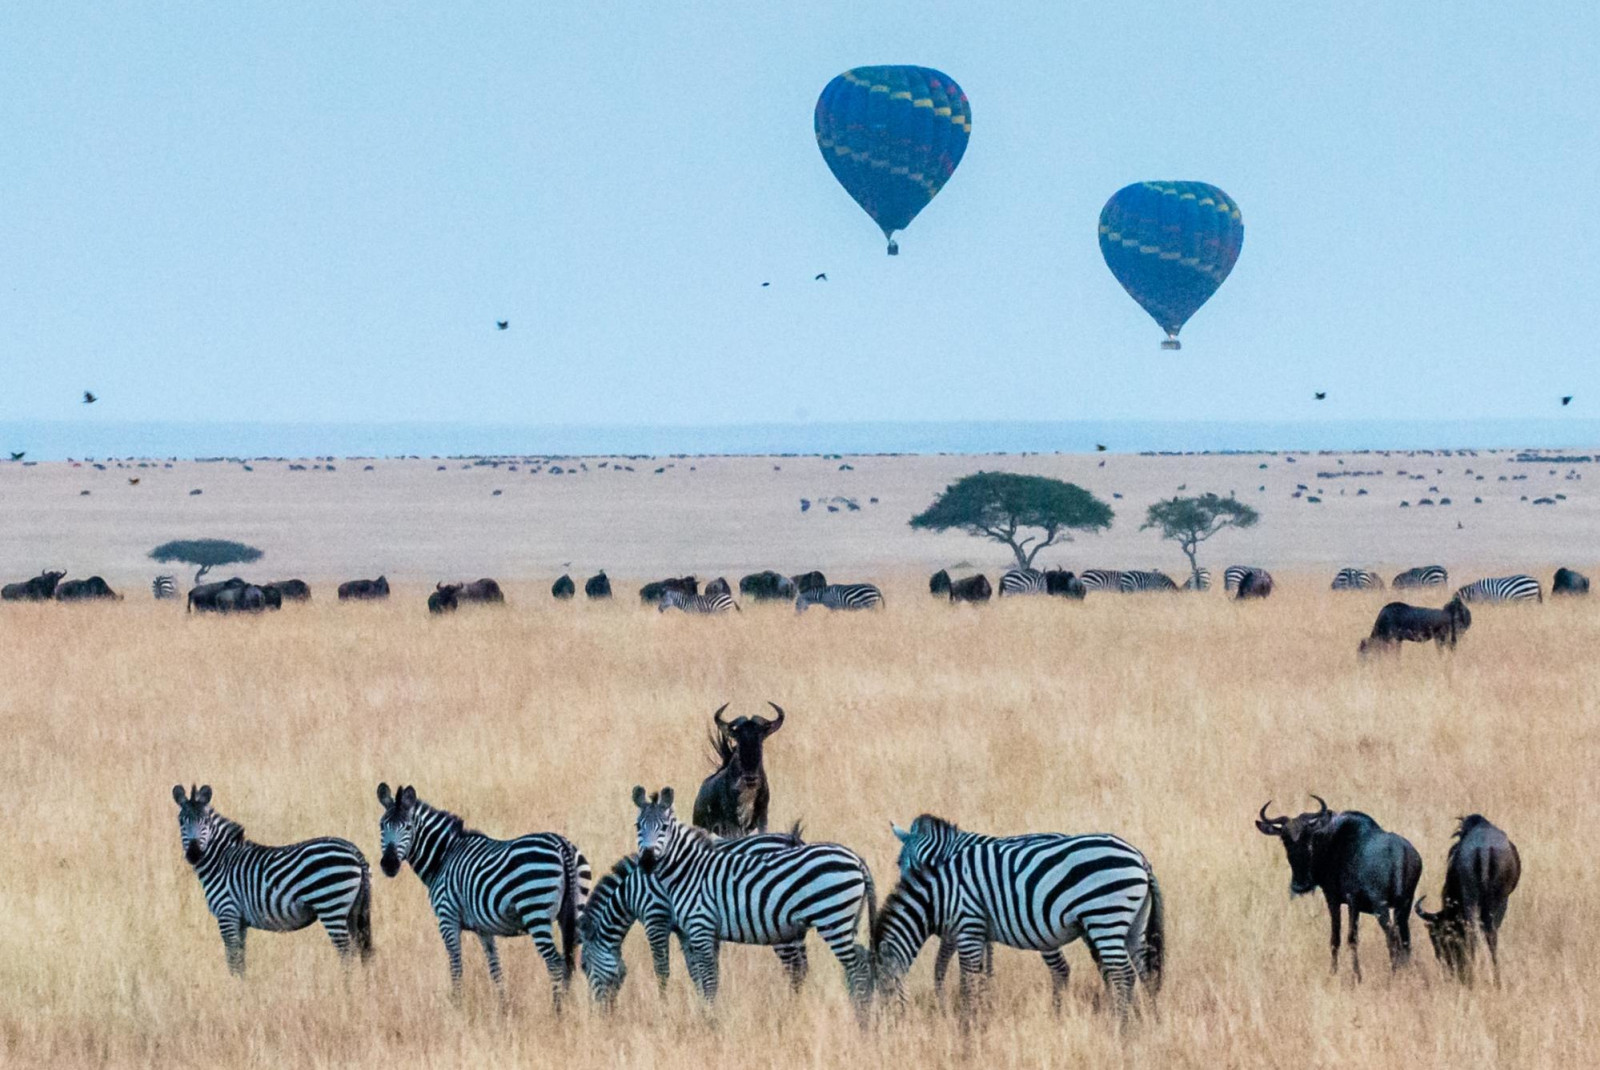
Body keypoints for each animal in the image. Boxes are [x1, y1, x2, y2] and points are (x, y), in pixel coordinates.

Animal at [172, 780, 371, 972]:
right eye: (181, 821)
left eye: (205, 821)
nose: (194, 854)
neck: (222, 860)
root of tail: (353, 849)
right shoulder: (239, 921)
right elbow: (241, 960)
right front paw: (243, 984)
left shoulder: (227, 913)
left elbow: (233, 960)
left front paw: (232, 984)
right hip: (354, 910)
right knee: (361, 948)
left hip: (331, 905)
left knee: (346, 953)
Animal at [377, 783, 592, 1004]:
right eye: (381, 826)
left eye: (408, 827)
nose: (389, 864)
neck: (444, 856)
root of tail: (562, 846)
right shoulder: (484, 928)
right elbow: (495, 968)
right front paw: (503, 1005)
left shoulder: (447, 918)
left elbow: (456, 966)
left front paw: (457, 1003)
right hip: (576, 911)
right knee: (576, 961)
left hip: (536, 911)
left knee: (555, 963)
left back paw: (557, 1008)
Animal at [576, 825, 806, 1010]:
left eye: (584, 967)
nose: (599, 1013)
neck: (632, 890)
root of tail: (792, 839)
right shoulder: (685, 928)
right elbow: (695, 970)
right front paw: (703, 1003)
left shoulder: (656, 917)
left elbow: (661, 969)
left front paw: (664, 1007)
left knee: (795, 968)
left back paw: (791, 1010)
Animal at [627, 783, 876, 1010]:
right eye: (638, 826)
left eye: (664, 827)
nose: (647, 861)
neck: (688, 870)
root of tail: (857, 859)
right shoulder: (696, 932)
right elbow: (705, 977)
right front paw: (706, 1010)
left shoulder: (697, 926)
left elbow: (703, 977)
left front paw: (708, 1016)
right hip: (844, 921)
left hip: (832, 918)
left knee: (858, 969)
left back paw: (860, 1013)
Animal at [876, 825, 1164, 1017]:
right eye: (898, 862)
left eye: (881, 990)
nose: (883, 1027)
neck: (943, 891)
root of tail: (1139, 858)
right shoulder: (974, 929)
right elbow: (975, 970)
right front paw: (975, 1007)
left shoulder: (967, 924)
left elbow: (964, 975)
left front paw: (968, 1017)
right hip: (1131, 923)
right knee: (1144, 971)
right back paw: (1149, 1019)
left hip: (1104, 916)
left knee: (1121, 973)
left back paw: (1120, 1023)